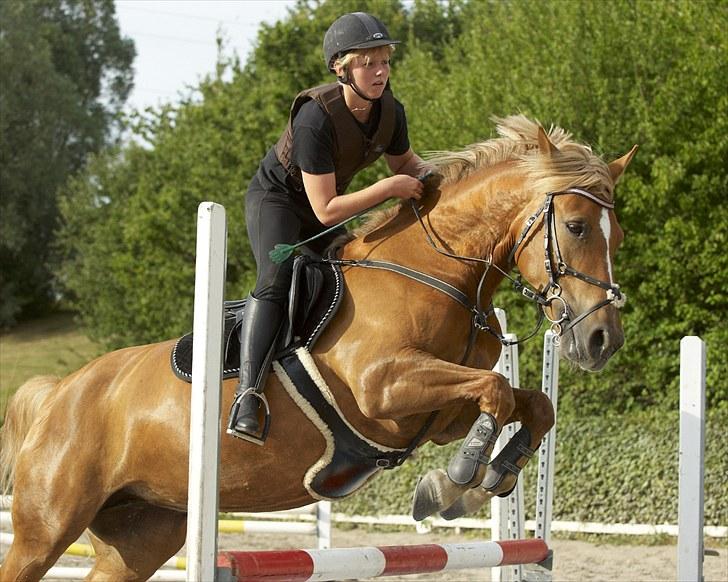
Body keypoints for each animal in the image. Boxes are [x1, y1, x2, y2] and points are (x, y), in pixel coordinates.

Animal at [1, 116, 636, 580]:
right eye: (576, 227)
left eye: (619, 235)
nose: (602, 340)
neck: (432, 275)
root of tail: (58, 393)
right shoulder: (386, 389)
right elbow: (497, 389)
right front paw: (452, 482)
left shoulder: (436, 412)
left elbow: (529, 403)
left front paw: (485, 479)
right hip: (46, 526)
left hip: (143, 532)